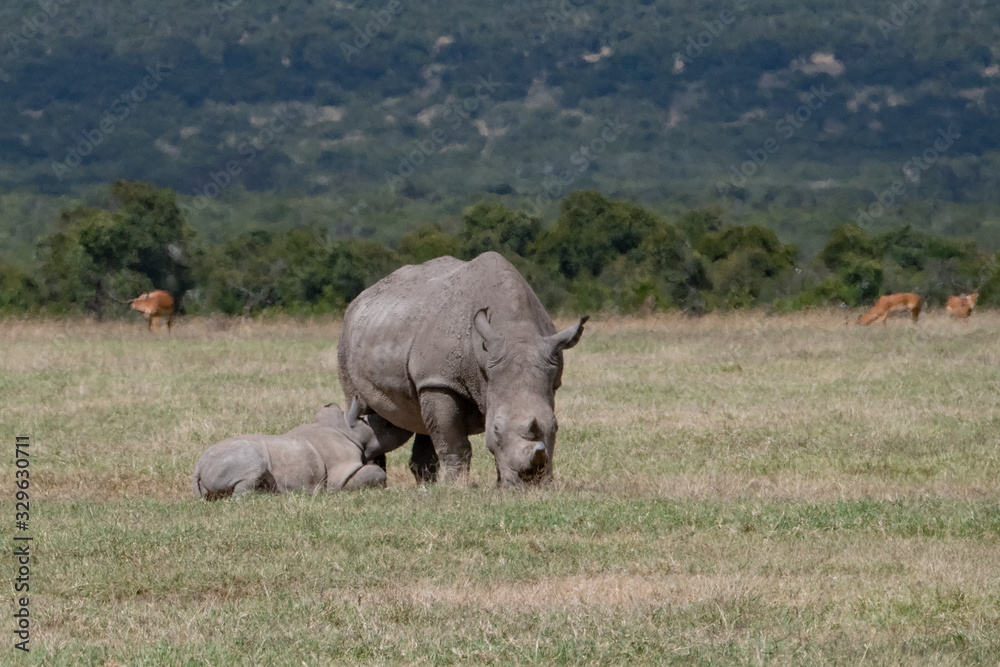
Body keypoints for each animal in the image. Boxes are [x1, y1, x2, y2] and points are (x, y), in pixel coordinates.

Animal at [338, 251, 587, 487]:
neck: (515, 330)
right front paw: (456, 486)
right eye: (495, 428)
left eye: (556, 427)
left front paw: (500, 485)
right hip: (347, 337)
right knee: (358, 404)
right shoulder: (440, 380)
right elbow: (453, 441)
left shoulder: (550, 380)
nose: (531, 481)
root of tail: (363, 296)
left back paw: (426, 486)